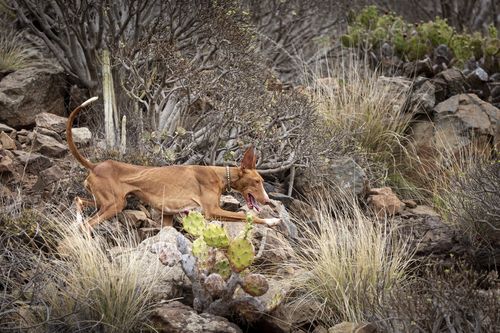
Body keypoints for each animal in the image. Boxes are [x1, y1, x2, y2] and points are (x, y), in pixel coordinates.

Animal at [66, 97, 282, 230]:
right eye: (257, 181)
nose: (267, 201)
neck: (220, 175)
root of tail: (97, 165)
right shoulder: (211, 211)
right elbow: (249, 216)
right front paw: (271, 219)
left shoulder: (168, 215)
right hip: (114, 204)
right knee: (87, 224)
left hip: (105, 201)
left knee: (78, 201)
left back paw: (76, 221)